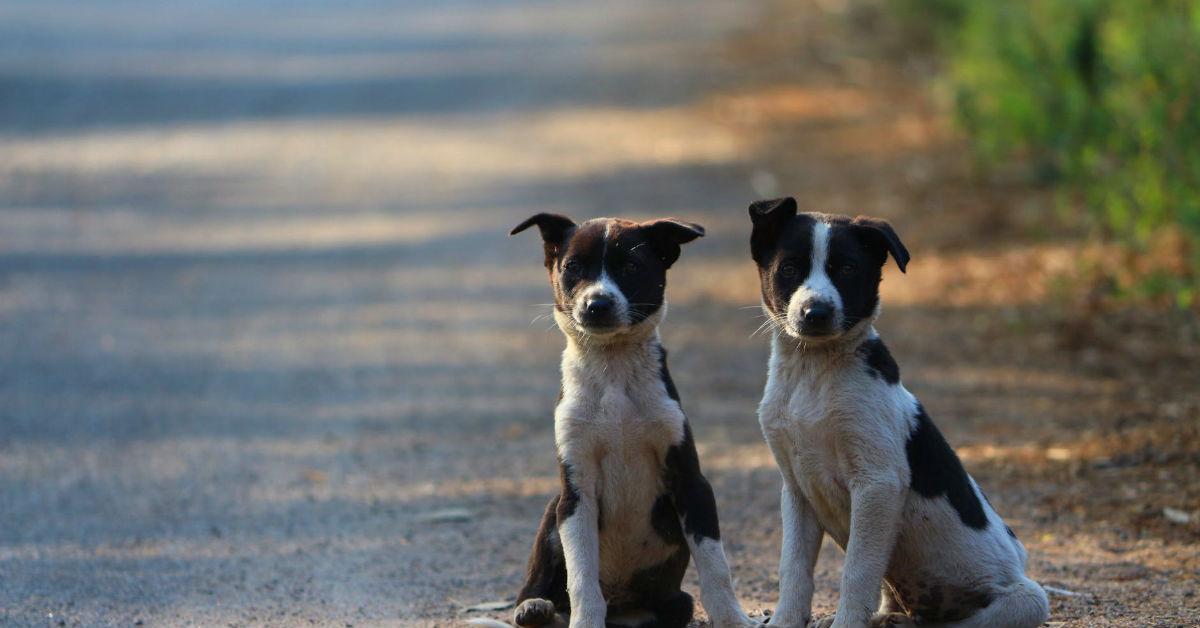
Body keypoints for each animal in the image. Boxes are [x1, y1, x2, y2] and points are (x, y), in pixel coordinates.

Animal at [487, 214, 758, 628]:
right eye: (573, 267)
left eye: (631, 267)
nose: (597, 304)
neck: (613, 367)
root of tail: (623, 609)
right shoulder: (576, 495)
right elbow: (582, 578)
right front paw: (584, 621)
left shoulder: (692, 483)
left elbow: (715, 565)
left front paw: (733, 619)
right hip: (553, 507)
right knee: (542, 589)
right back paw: (535, 609)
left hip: (674, 601)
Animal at [748, 199, 1051, 628]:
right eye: (789, 268)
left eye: (848, 269)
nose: (816, 312)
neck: (813, 373)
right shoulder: (796, 489)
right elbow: (793, 569)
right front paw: (786, 621)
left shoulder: (877, 483)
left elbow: (857, 571)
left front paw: (845, 624)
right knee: (896, 605)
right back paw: (886, 619)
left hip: (1026, 596)